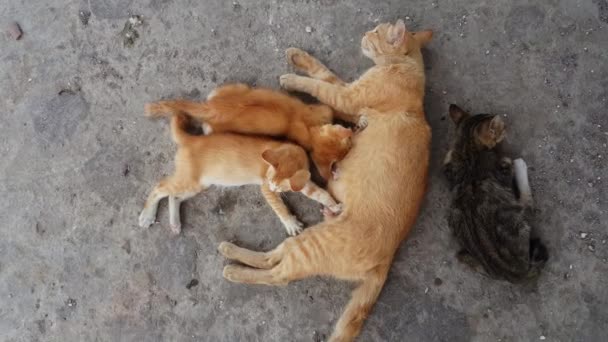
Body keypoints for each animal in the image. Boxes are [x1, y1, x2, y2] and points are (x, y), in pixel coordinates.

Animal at [140, 111, 344, 235]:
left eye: (278, 187)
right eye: (271, 184)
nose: (274, 188)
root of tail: (191, 139)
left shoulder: (304, 182)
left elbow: (322, 194)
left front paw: (334, 206)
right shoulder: (266, 187)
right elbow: (279, 207)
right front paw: (290, 222)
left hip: (199, 184)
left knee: (173, 196)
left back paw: (174, 222)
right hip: (189, 180)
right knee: (159, 187)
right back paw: (147, 216)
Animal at [145, 84, 352, 180]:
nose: (351, 136)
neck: (309, 128)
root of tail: (212, 108)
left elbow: (329, 110)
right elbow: (330, 109)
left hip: (232, 88)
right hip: (212, 128)